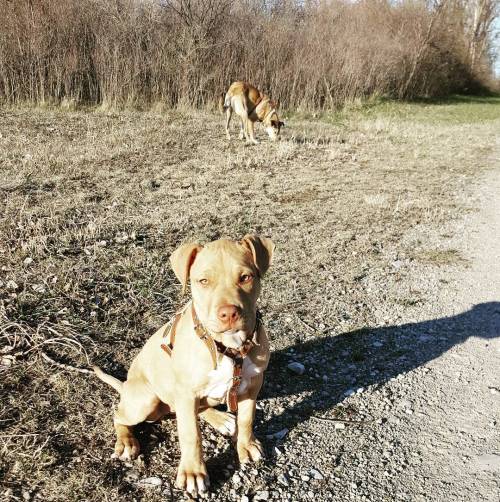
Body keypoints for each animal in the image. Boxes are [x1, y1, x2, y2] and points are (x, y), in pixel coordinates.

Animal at [94, 235, 274, 498]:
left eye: (246, 277)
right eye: (203, 281)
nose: (229, 313)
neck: (227, 347)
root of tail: (125, 386)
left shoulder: (252, 383)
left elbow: (247, 418)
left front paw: (246, 445)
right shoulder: (187, 393)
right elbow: (191, 435)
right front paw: (193, 473)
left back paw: (221, 419)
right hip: (146, 399)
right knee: (119, 416)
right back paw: (126, 441)